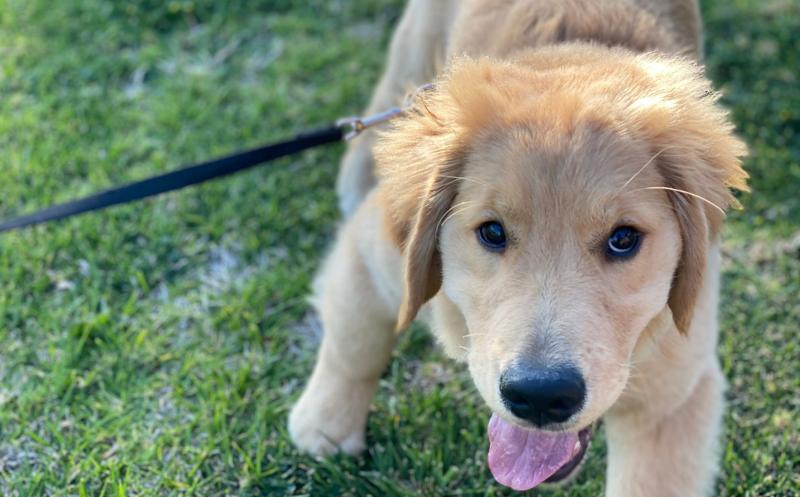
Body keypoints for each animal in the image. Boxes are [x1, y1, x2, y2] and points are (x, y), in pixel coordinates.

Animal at [290, 1, 752, 494]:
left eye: (623, 238)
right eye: (492, 232)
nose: (540, 396)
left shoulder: (674, 390)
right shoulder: (373, 255)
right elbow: (353, 345)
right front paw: (324, 427)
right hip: (418, 44)